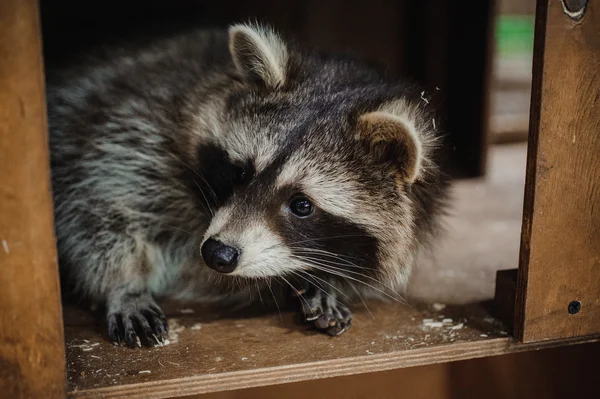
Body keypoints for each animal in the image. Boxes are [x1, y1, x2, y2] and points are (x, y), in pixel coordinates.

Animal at [48, 22, 450, 346]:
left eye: (301, 205)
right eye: (241, 172)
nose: (217, 254)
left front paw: (322, 281)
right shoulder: (136, 124)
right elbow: (97, 203)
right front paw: (124, 283)